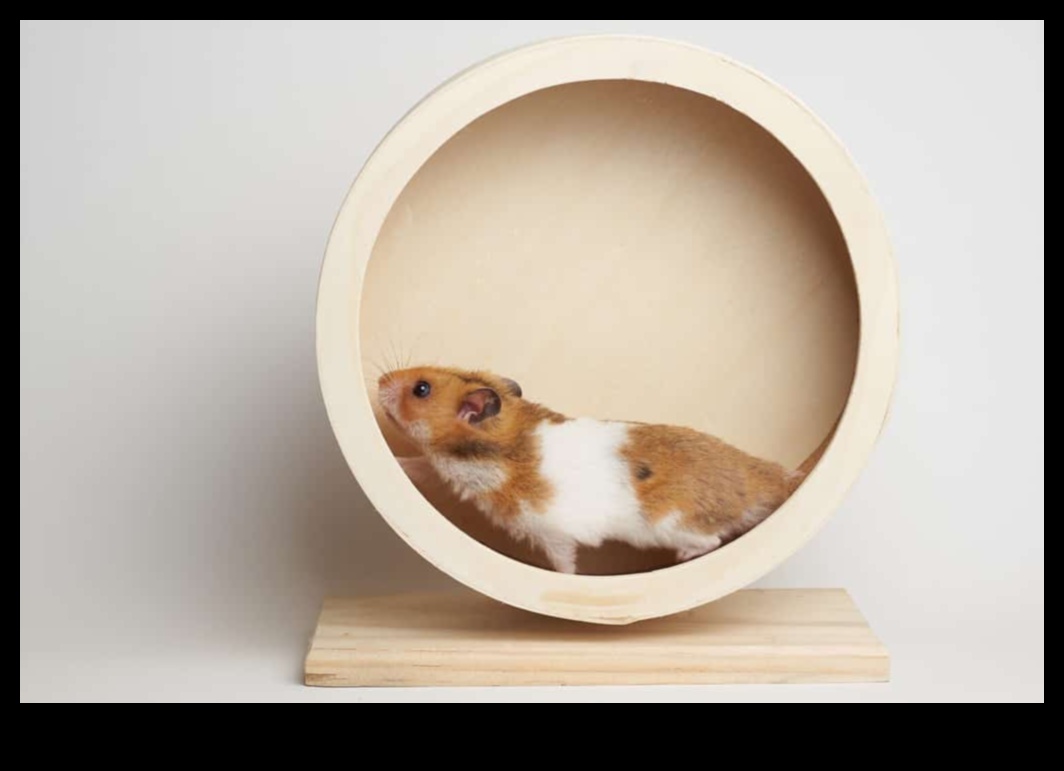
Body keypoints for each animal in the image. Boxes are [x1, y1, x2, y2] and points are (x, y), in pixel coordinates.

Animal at [378, 366, 826, 575]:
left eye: (421, 389)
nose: (380, 380)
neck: (501, 446)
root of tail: (776, 480)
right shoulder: (441, 469)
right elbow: (419, 465)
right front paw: (393, 463)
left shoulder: (551, 533)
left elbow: (564, 562)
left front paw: (567, 581)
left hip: (673, 524)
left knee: (710, 541)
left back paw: (682, 557)